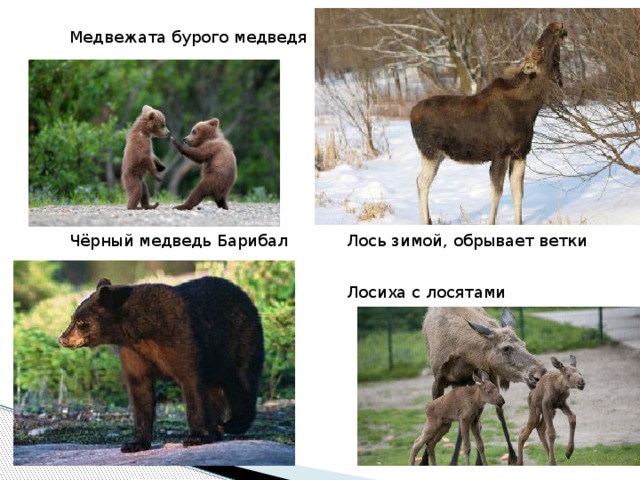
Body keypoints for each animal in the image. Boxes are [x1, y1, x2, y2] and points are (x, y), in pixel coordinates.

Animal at [58, 276, 264, 453]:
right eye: (72, 318)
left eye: (80, 321)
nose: (62, 338)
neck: (142, 329)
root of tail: (245, 296)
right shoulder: (133, 352)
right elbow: (140, 391)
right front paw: (135, 443)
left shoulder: (181, 337)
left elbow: (192, 383)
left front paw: (196, 437)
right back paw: (216, 430)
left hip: (240, 343)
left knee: (241, 384)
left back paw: (232, 424)